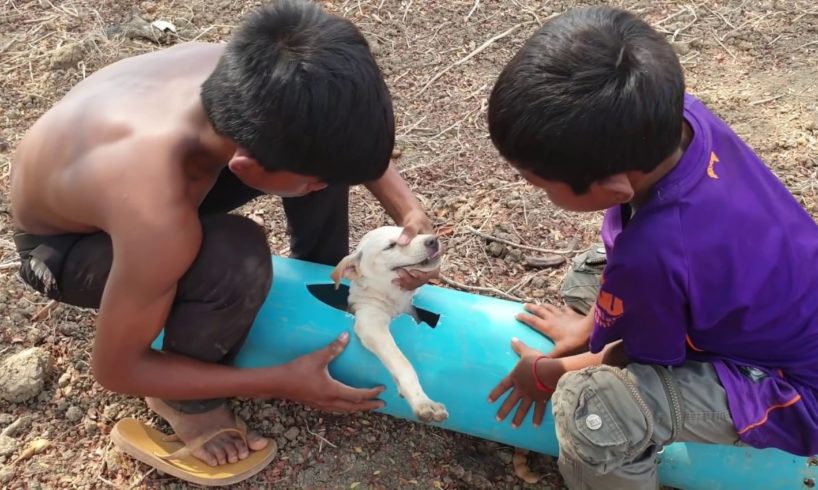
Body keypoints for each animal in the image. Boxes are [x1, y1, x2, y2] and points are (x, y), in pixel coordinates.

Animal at [330, 226, 450, 422]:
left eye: (409, 232)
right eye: (390, 246)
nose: (433, 239)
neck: (393, 298)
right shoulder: (371, 326)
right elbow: (402, 362)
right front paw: (422, 401)